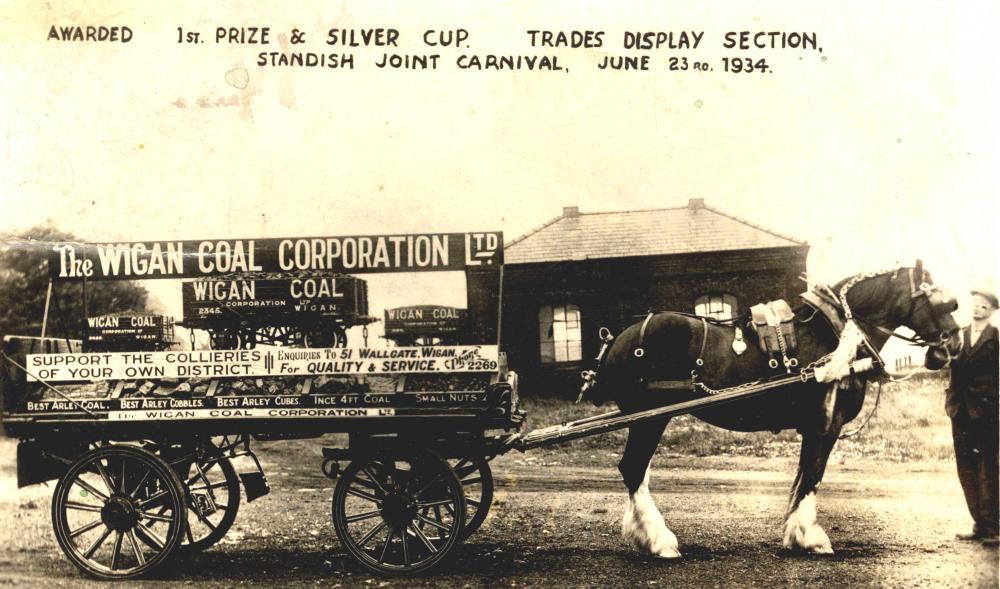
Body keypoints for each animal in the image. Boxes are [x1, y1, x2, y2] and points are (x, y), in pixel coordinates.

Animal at [584, 264, 964, 560]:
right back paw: (659, 541)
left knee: (638, 471)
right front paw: (811, 538)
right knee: (633, 468)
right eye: (945, 302)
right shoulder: (826, 425)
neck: (837, 337)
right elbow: (813, 476)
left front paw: (796, 534)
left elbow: (802, 476)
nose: (955, 345)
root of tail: (616, 341)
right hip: (651, 417)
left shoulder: (813, 427)